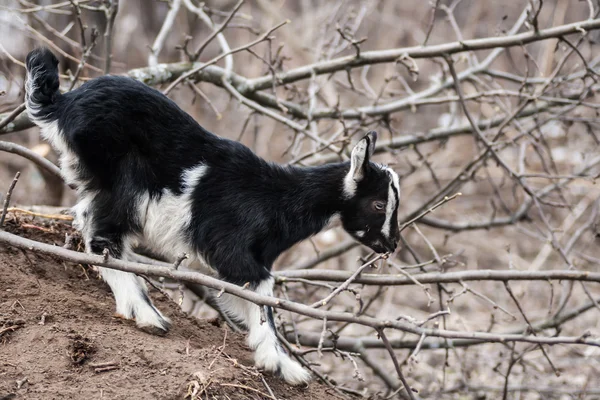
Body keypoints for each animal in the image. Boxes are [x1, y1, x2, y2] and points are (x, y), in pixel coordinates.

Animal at [24, 47, 398, 384]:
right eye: (379, 204)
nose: (392, 244)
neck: (276, 198)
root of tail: (63, 104)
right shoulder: (230, 243)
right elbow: (261, 292)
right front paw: (283, 365)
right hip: (121, 178)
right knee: (103, 235)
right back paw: (148, 316)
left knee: (93, 225)